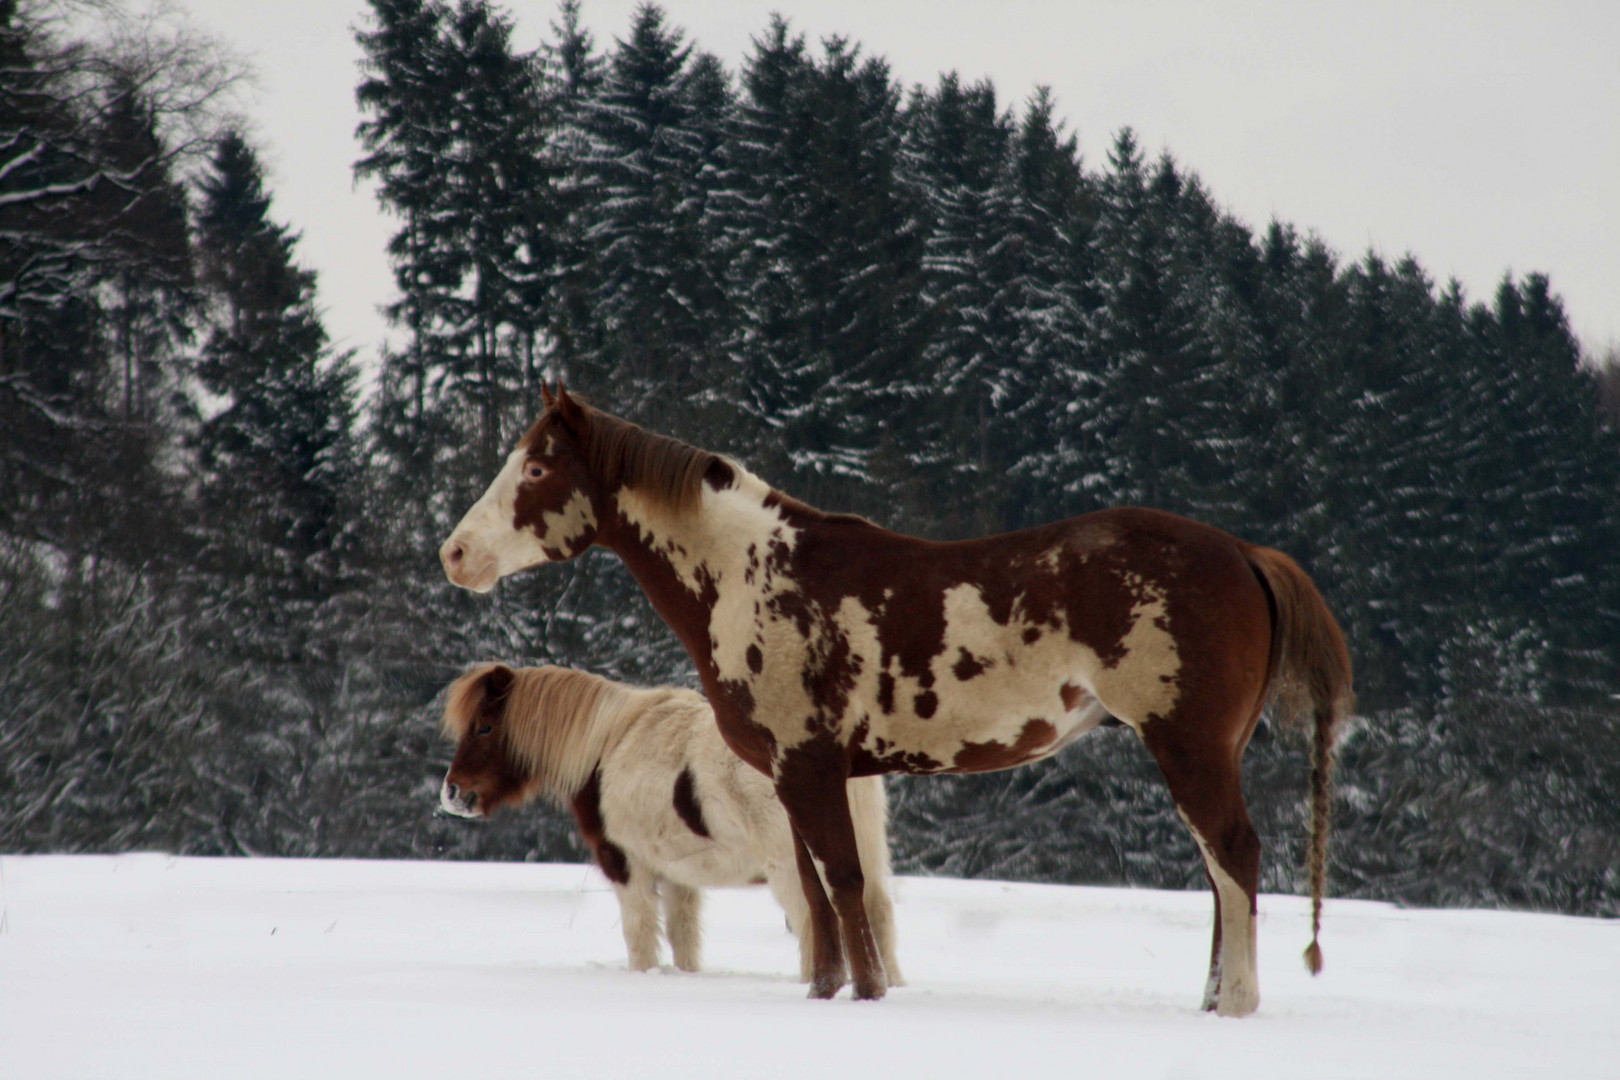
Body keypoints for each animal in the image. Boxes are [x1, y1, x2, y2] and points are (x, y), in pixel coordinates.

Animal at [437, 663, 907, 984]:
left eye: (484, 727)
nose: (453, 793)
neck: (607, 745)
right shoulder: (680, 877)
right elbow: (684, 941)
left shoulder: (628, 867)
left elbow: (641, 935)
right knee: (876, 917)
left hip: (792, 867)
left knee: (817, 921)